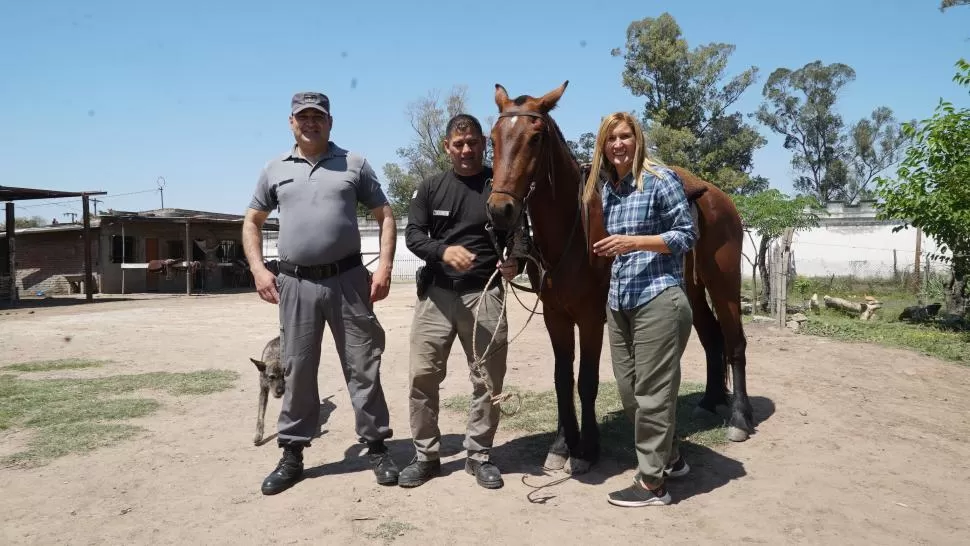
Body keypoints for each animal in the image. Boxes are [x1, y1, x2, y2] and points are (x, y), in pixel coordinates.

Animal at [488, 81, 752, 472]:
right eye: (492, 138)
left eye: (535, 138)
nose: (500, 210)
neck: (572, 229)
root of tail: (721, 198)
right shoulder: (555, 316)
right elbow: (562, 379)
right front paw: (561, 445)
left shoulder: (590, 317)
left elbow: (586, 381)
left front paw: (586, 449)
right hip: (694, 290)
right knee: (712, 339)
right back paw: (709, 401)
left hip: (724, 287)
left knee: (735, 344)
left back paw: (739, 419)